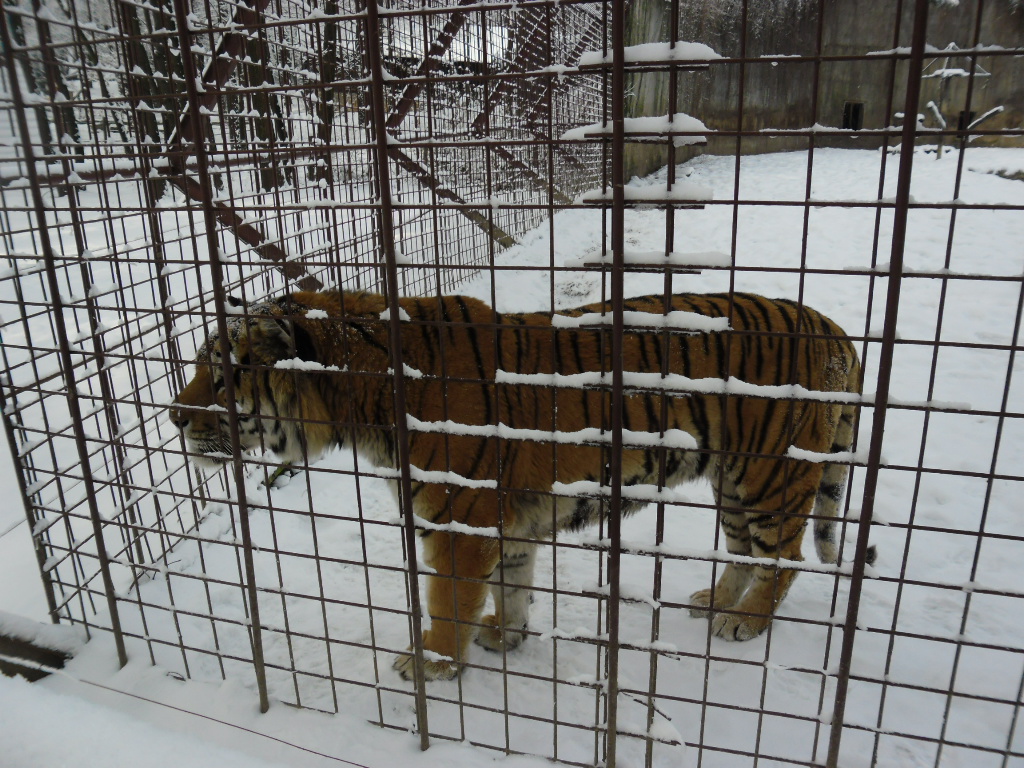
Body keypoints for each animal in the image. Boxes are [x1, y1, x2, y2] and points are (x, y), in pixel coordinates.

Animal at [170, 289, 871, 681]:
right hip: (733, 480)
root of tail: (832, 326)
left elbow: (446, 600)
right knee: (746, 550)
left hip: (770, 475)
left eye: (223, 378)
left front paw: (431, 662)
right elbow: (510, 587)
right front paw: (504, 638)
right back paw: (714, 601)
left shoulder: (458, 523)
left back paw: (743, 622)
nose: (174, 416)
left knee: (785, 556)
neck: (361, 402)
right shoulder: (505, 524)